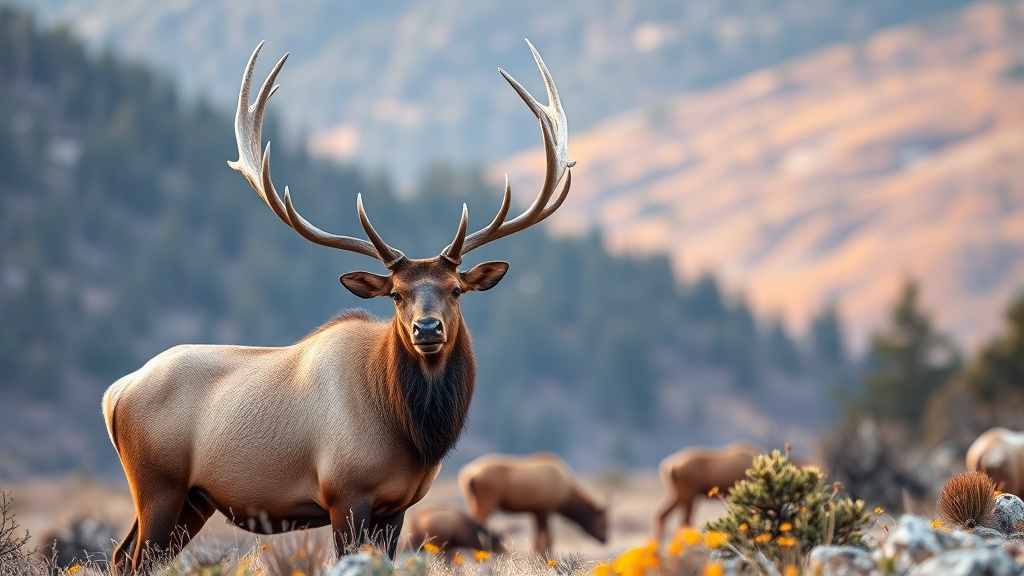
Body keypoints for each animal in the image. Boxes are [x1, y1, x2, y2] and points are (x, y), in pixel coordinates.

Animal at [101, 39, 573, 574]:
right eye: (396, 294)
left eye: (456, 289)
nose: (427, 329)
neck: (414, 434)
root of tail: (116, 392)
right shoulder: (345, 494)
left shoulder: (397, 506)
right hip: (157, 484)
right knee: (134, 557)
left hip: (194, 500)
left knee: (123, 555)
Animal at [457, 453, 607, 556]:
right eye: (603, 522)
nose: (605, 539)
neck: (566, 496)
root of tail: (469, 474)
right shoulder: (546, 509)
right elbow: (548, 538)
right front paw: (545, 557)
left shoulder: (536, 512)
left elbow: (536, 538)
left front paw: (536, 556)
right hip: (488, 500)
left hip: (472, 500)